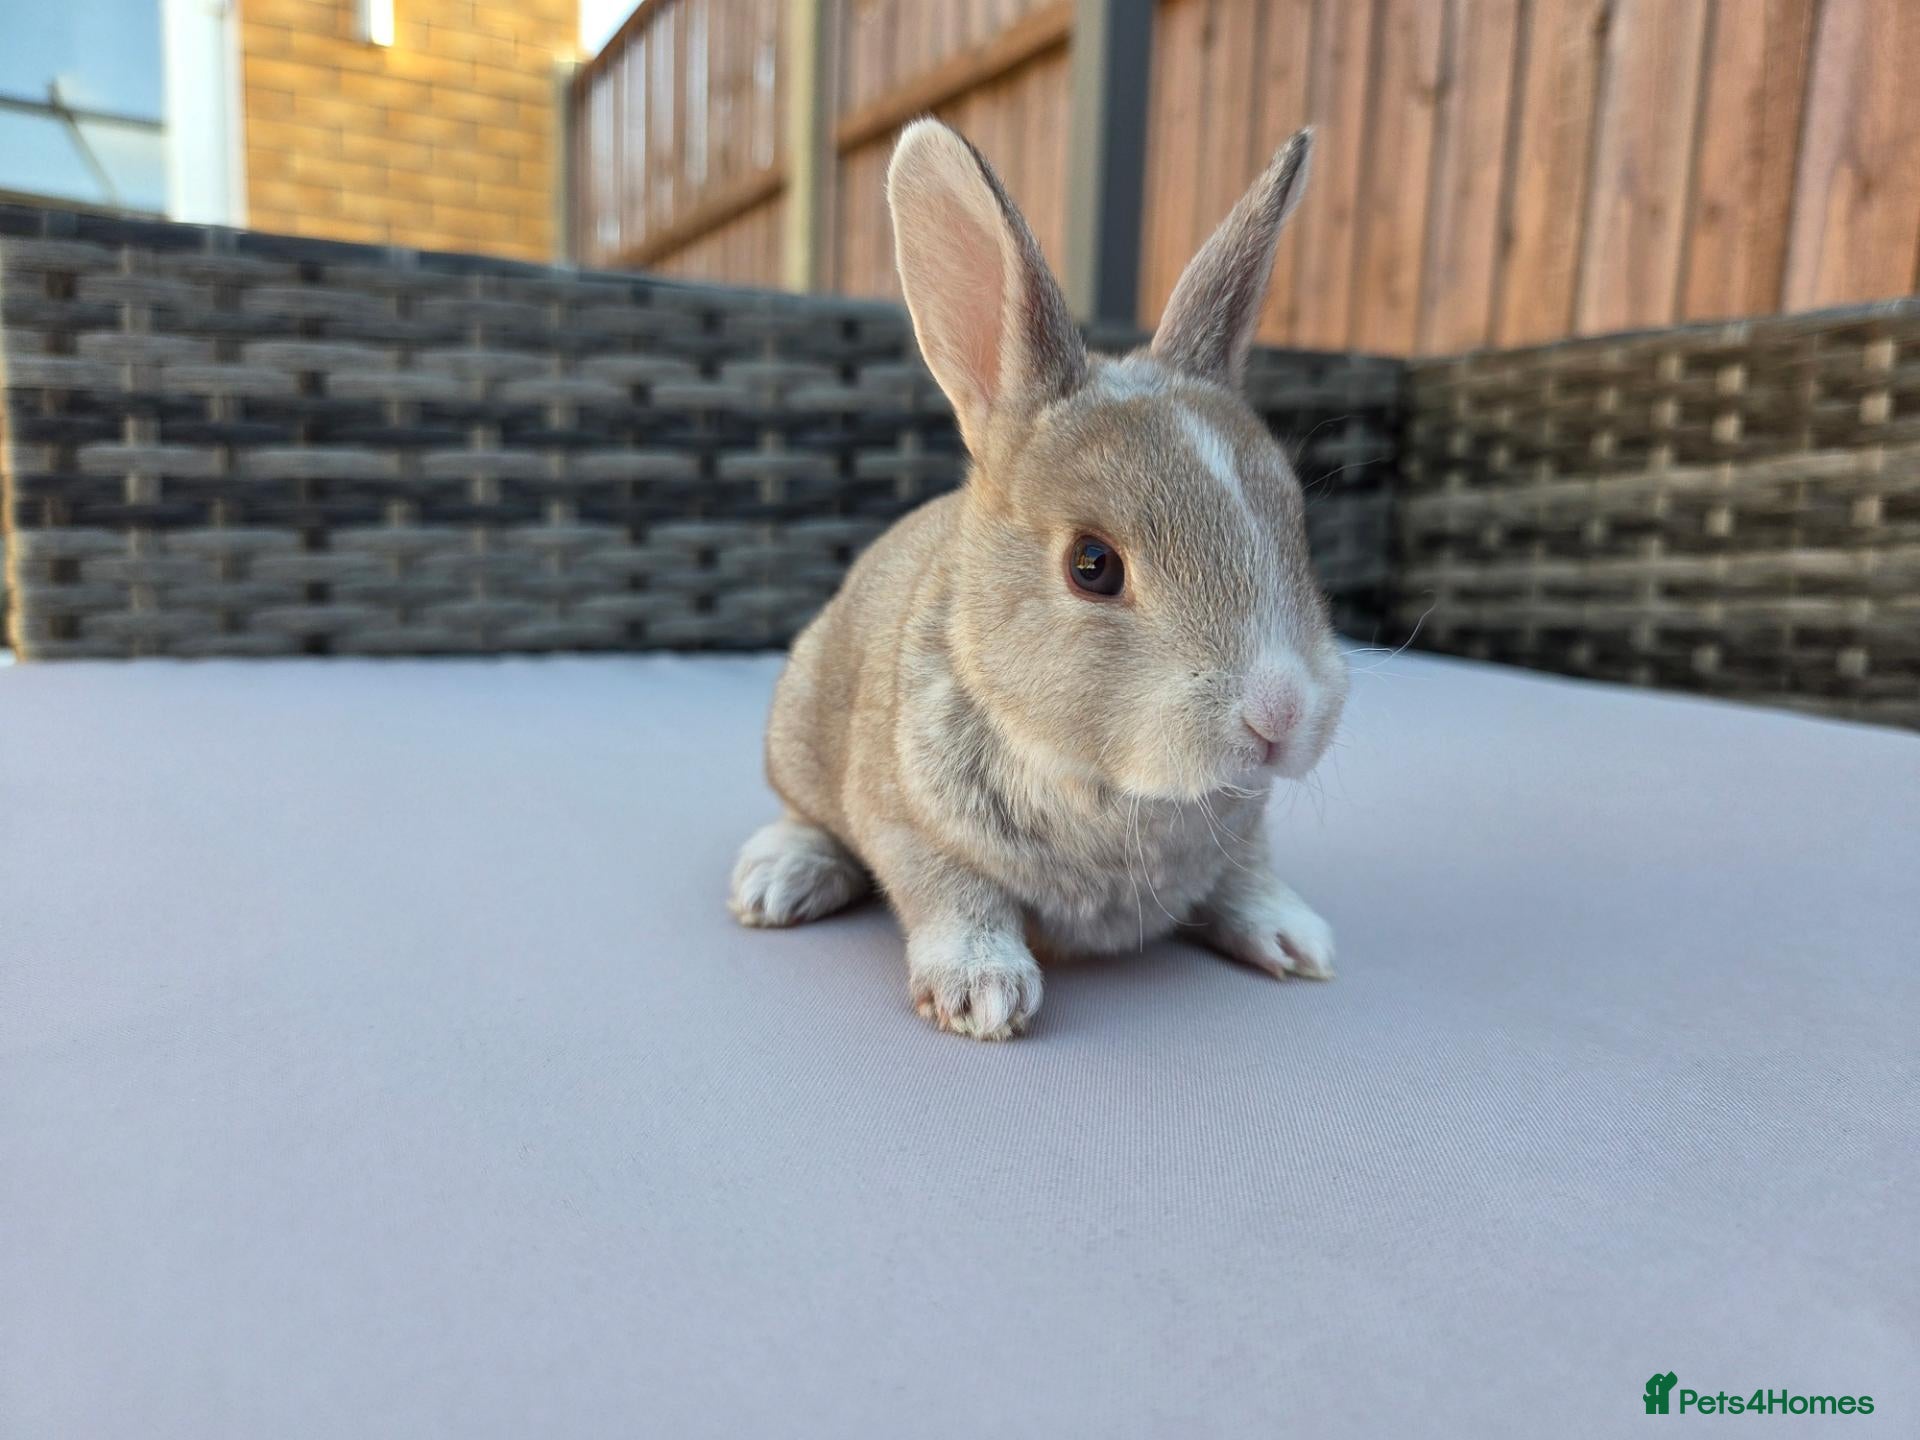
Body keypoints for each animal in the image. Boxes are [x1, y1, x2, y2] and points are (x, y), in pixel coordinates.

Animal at [729, 118, 1348, 1040]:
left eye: (1294, 527)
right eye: (1093, 565)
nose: (1280, 715)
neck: (1109, 785)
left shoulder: (1243, 832)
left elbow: (1243, 873)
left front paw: (1296, 938)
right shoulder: (909, 823)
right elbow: (954, 894)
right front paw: (983, 994)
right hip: (800, 733)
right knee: (806, 818)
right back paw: (778, 881)